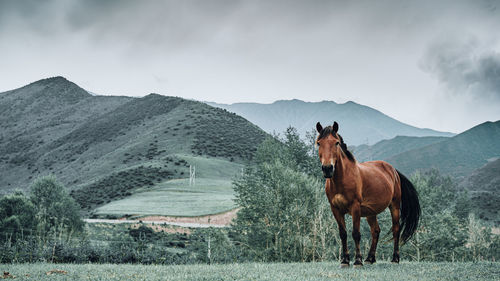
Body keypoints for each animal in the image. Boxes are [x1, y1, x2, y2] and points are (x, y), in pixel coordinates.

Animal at [318, 121, 420, 266]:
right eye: (318, 143)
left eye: (336, 143)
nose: (327, 169)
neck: (342, 179)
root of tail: (393, 170)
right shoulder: (335, 209)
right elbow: (343, 234)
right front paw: (345, 261)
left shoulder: (355, 207)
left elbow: (356, 233)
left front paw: (357, 261)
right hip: (371, 212)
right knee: (375, 231)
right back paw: (370, 258)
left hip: (394, 206)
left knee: (396, 229)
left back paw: (395, 258)